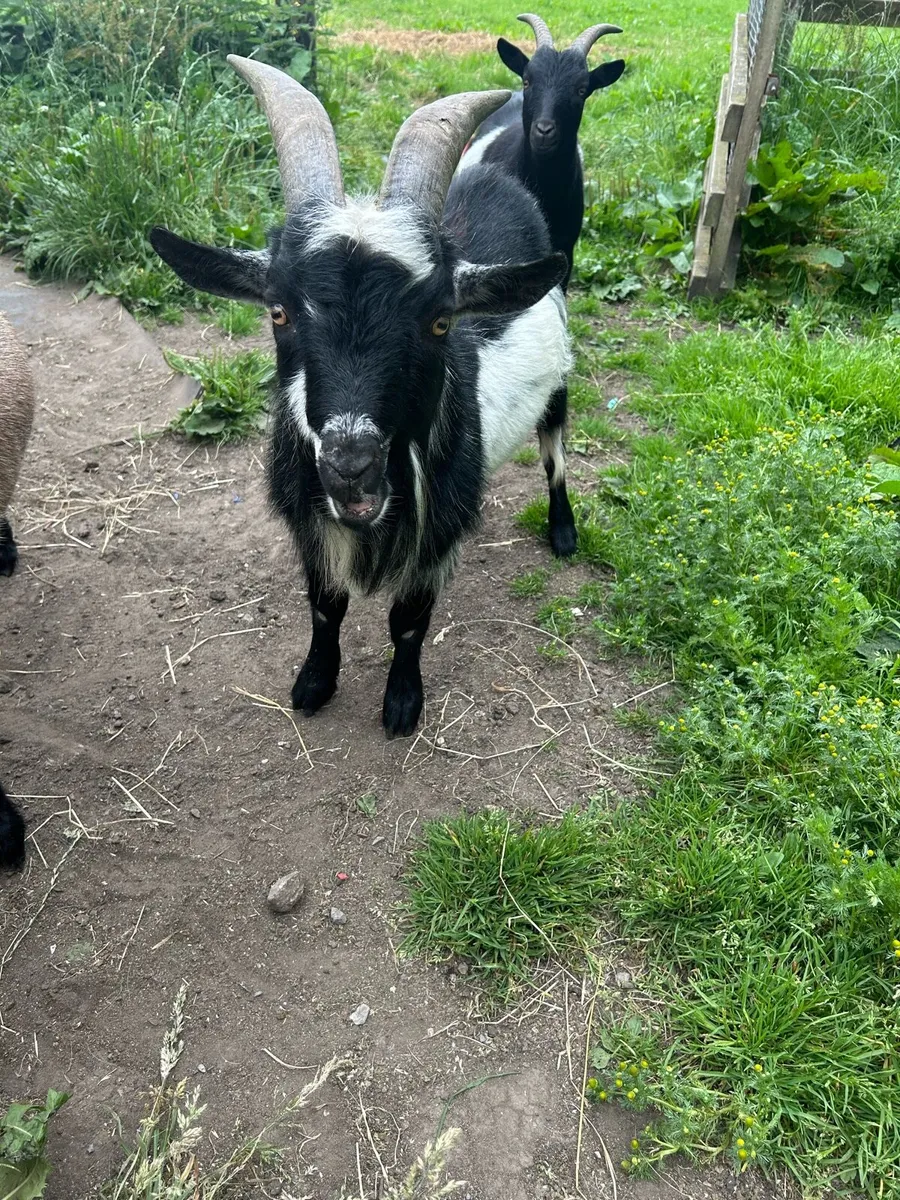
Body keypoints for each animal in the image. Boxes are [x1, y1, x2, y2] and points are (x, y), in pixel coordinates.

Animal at [151, 58, 576, 738]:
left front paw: (401, 703)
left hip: (559, 380)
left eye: (439, 321)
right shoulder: (310, 521)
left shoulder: (434, 532)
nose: (351, 465)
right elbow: (326, 606)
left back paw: (564, 532)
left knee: (555, 453)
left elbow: (409, 620)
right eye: (278, 311)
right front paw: (314, 683)